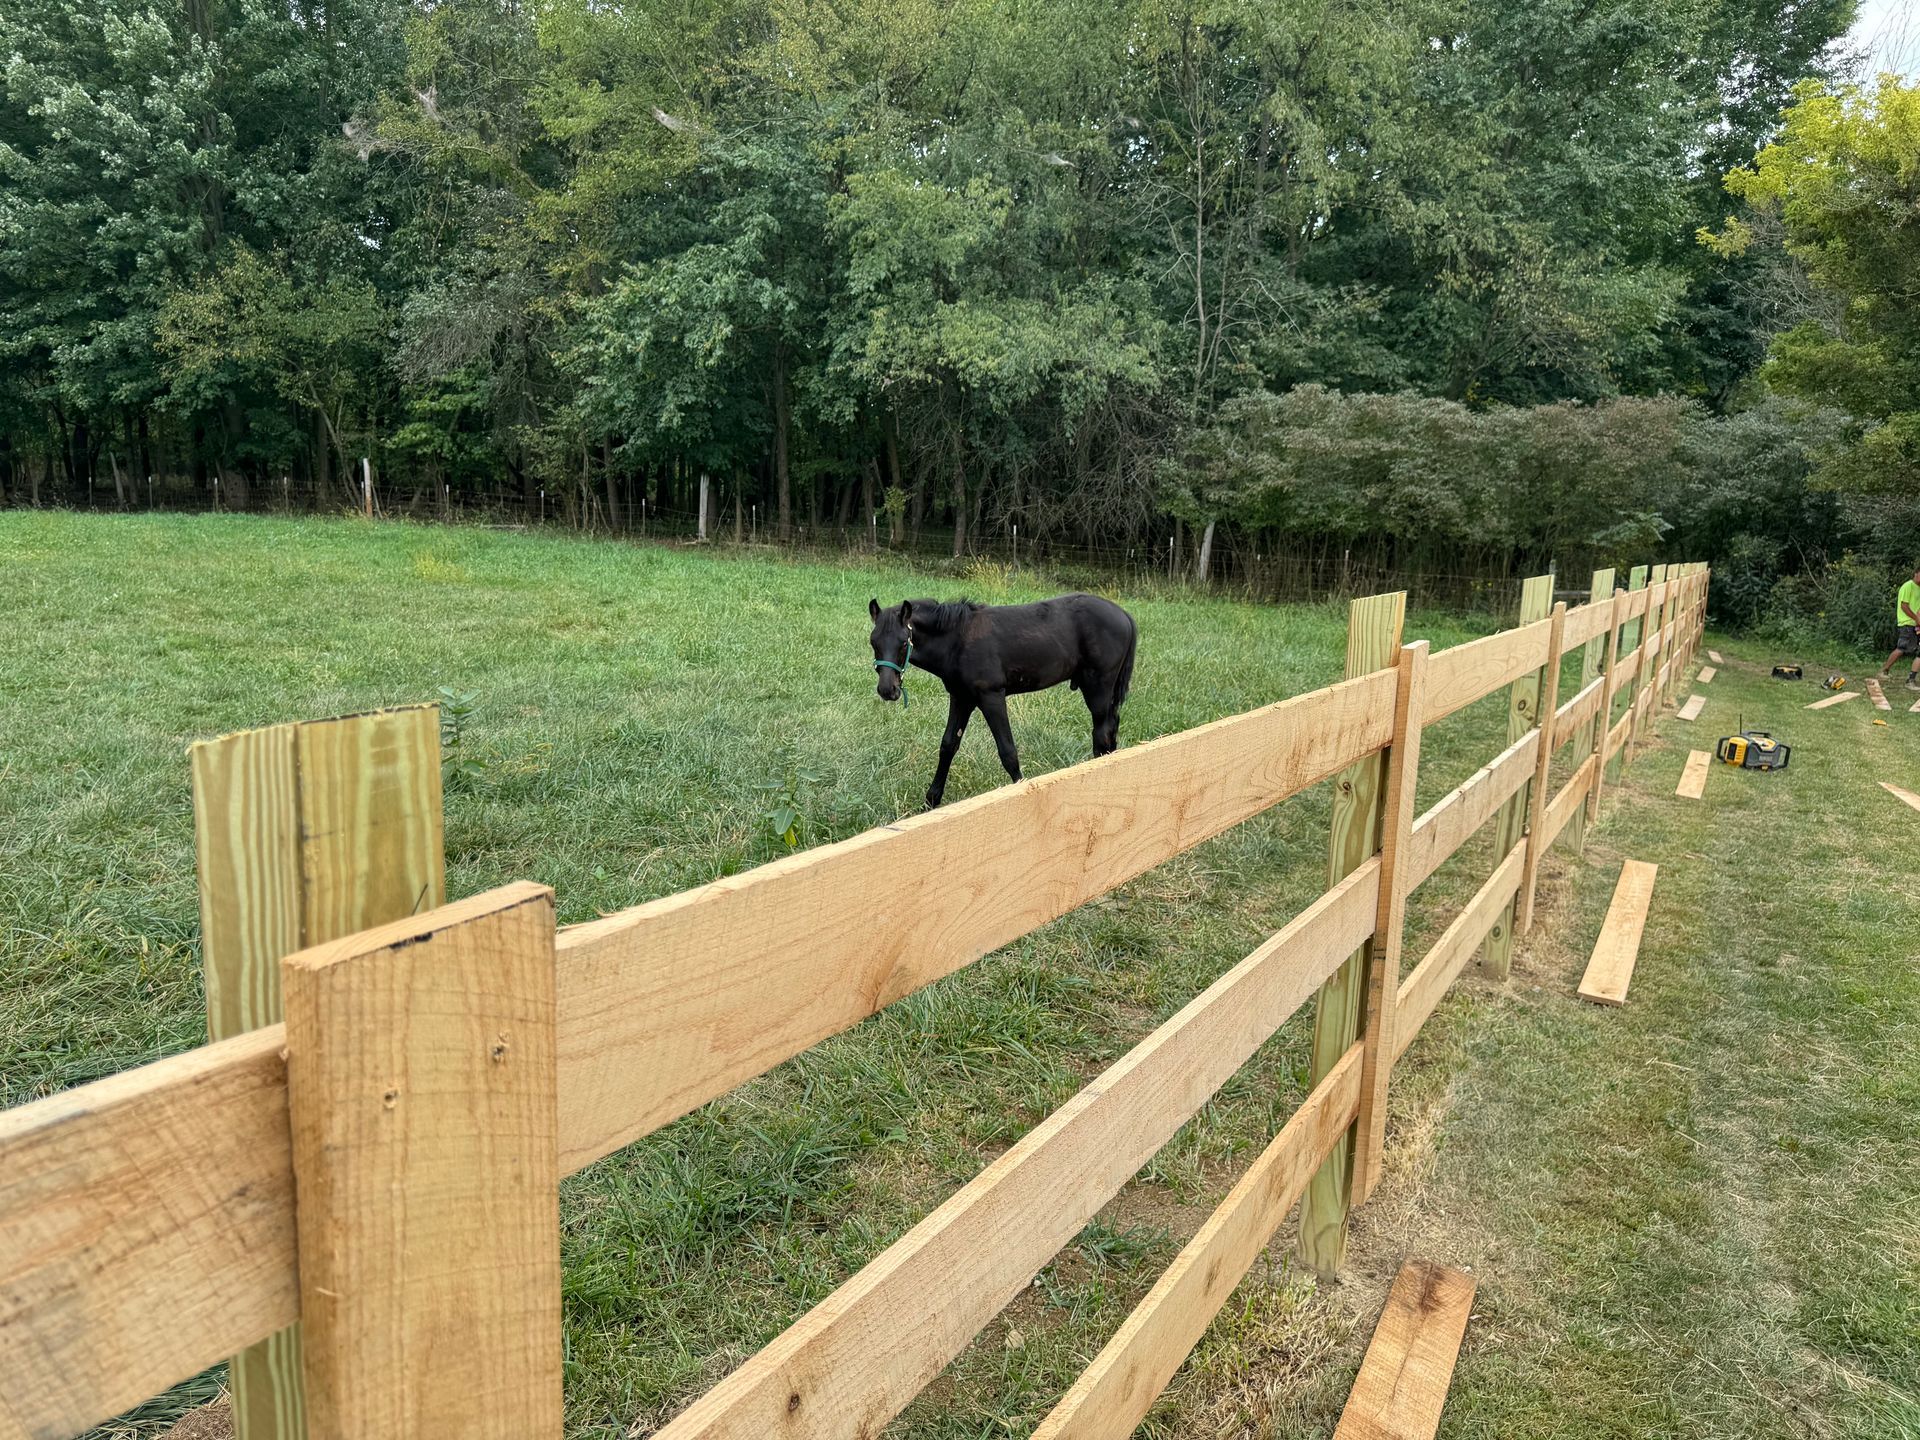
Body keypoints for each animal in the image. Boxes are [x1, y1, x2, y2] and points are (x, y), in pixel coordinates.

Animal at [867, 592, 1138, 808]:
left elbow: (1008, 750)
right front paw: (931, 801)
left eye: (903, 643)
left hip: (1098, 689)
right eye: (873, 642)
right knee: (1110, 731)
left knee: (1101, 734)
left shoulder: (991, 697)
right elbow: (948, 746)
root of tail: (1123, 614)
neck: (958, 639)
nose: (887, 690)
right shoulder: (961, 698)